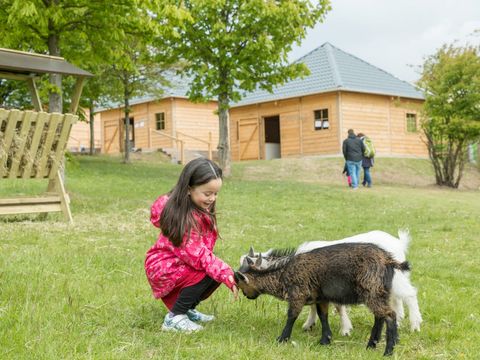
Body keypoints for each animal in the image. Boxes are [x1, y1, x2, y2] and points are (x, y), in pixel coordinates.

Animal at [233, 240, 408, 356]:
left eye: (239, 281)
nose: (247, 296)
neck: (283, 273)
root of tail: (388, 260)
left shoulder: (298, 294)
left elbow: (292, 316)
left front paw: (282, 339)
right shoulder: (321, 297)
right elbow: (323, 315)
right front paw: (325, 340)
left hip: (372, 290)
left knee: (389, 315)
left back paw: (388, 351)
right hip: (379, 292)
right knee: (380, 316)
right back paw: (371, 345)